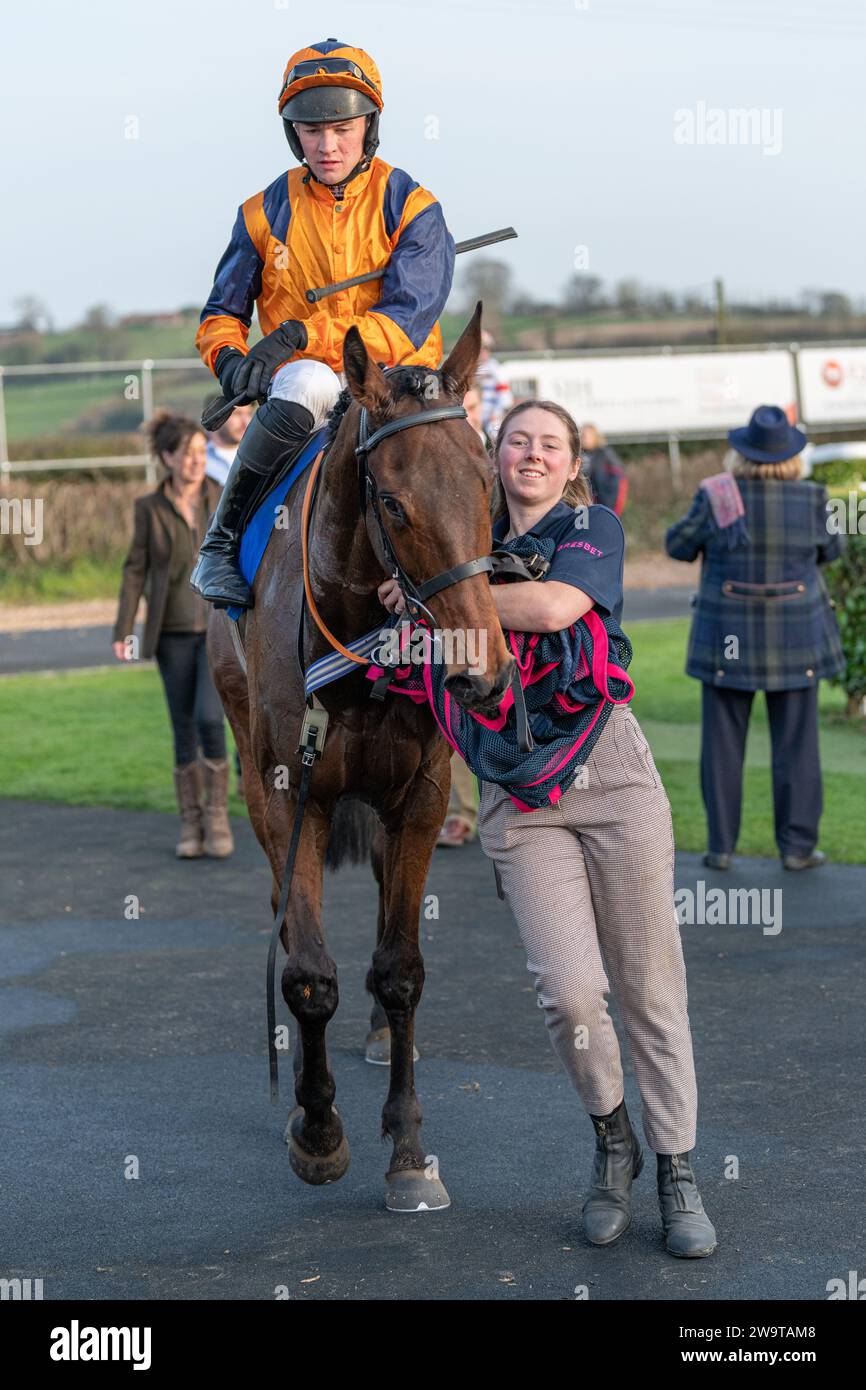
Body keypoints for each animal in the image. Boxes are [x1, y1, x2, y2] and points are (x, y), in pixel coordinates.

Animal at [209, 301, 514, 1206]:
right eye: (394, 503)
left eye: (488, 487)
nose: (482, 671)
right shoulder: (288, 792)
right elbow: (310, 972)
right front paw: (318, 1128)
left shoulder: (419, 792)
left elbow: (401, 965)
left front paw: (408, 1145)